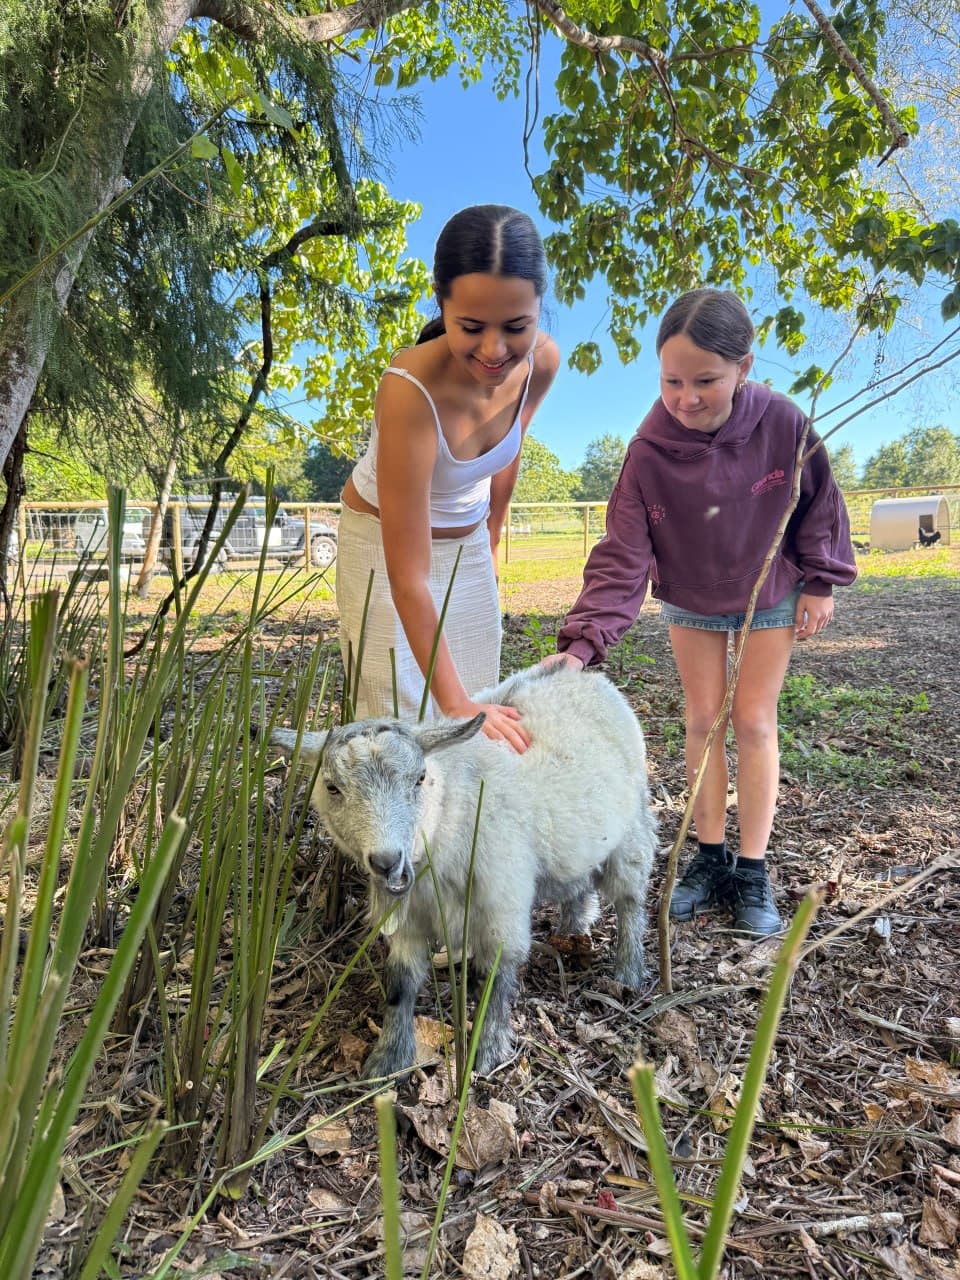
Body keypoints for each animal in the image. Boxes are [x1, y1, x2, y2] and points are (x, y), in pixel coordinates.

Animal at [270, 665, 658, 1078]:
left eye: (420, 778)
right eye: (332, 788)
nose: (387, 861)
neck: (448, 814)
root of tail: (586, 674)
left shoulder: (501, 906)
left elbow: (496, 977)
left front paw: (486, 1051)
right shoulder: (410, 920)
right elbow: (400, 982)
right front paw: (389, 1056)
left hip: (631, 833)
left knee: (631, 902)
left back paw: (628, 971)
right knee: (577, 884)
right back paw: (572, 932)